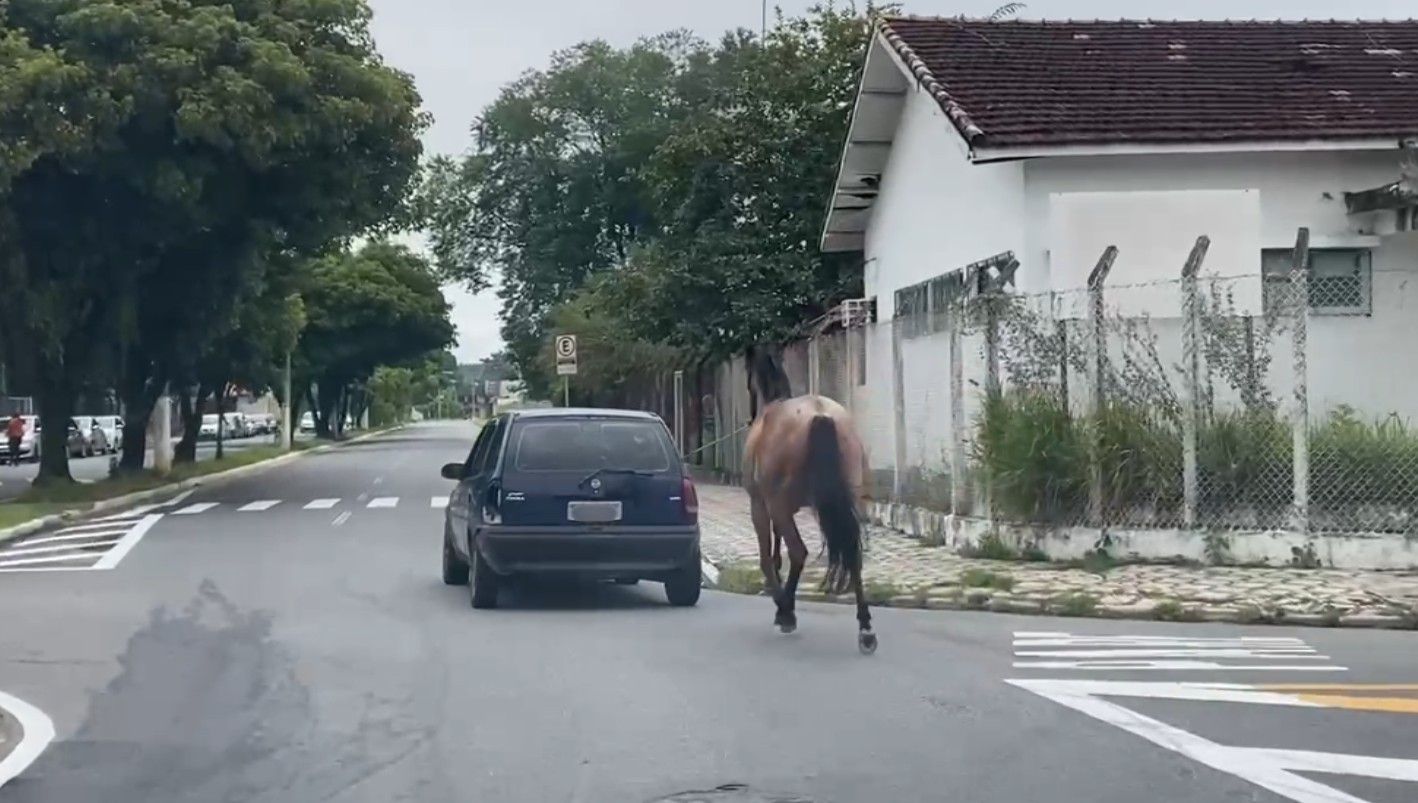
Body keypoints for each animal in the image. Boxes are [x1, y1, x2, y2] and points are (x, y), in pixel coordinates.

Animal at [743, 346, 873, 655]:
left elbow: (767, 557)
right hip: (849, 497)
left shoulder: (761, 505)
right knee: (853, 553)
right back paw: (865, 629)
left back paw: (786, 612)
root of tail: (821, 415)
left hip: (777, 504)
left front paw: (780, 600)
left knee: (799, 551)